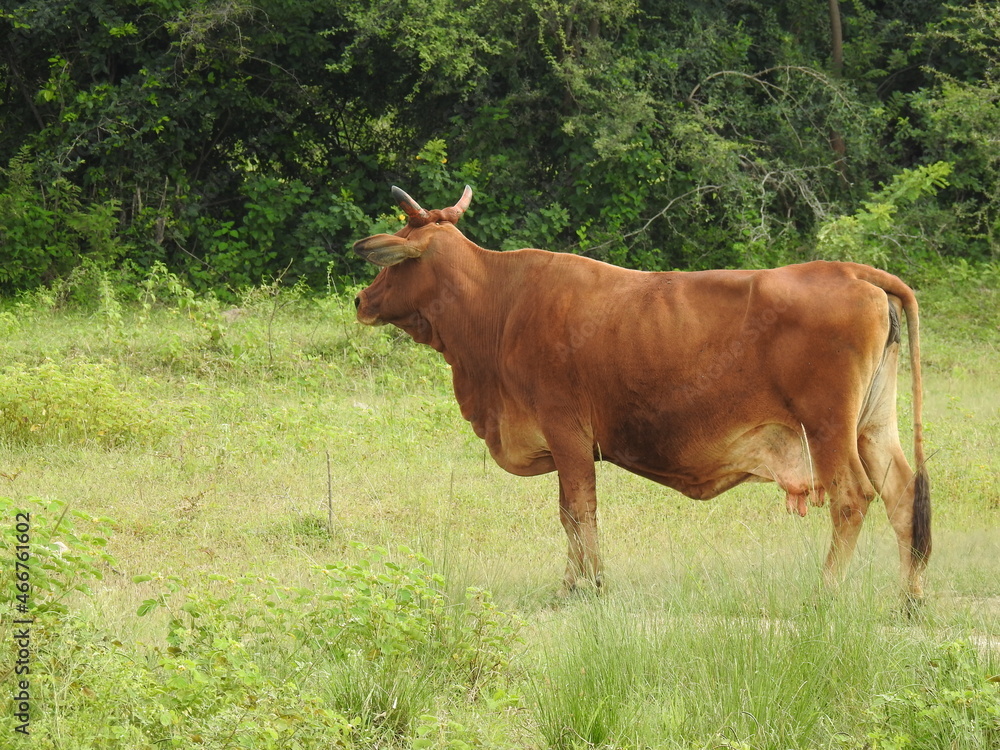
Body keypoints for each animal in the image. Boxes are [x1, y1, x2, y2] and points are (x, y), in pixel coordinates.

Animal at [353, 186, 931, 602]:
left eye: (395, 259)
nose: (361, 299)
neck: (501, 304)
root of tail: (850, 269)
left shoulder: (566, 431)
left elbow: (576, 508)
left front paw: (585, 586)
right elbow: (572, 511)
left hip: (829, 426)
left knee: (852, 498)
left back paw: (825, 592)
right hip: (873, 425)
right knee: (903, 493)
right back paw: (910, 599)